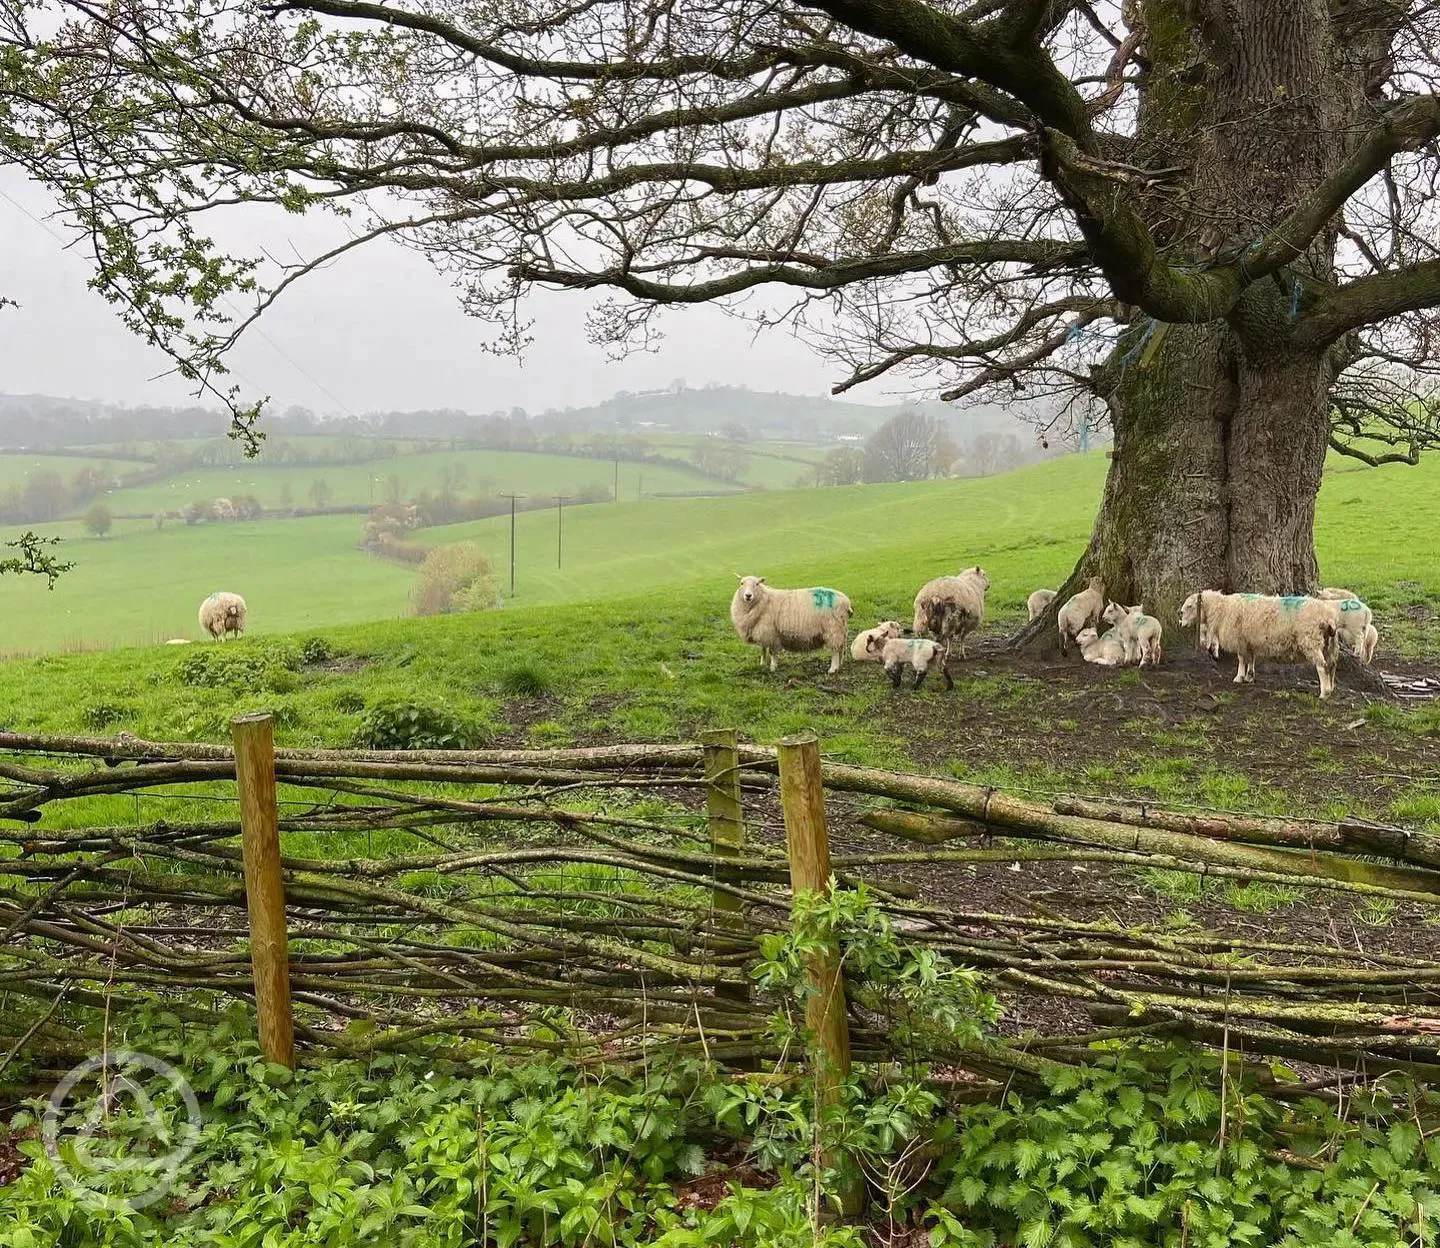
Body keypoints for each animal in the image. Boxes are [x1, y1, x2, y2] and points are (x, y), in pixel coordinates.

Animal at [1180, 590, 1336, 696]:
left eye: (1189, 606)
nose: (1180, 622)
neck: (1221, 608)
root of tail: (1327, 617)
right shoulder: (1249, 641)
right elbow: (1250, 659)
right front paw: (1250, 676)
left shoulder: (1240, 639)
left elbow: (1241, 659)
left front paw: (1239, 677)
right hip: (1329, 644)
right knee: (1331, 665)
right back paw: (1331, 688)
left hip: (1311, 640)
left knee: (1322, 666)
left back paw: (1324, 693)